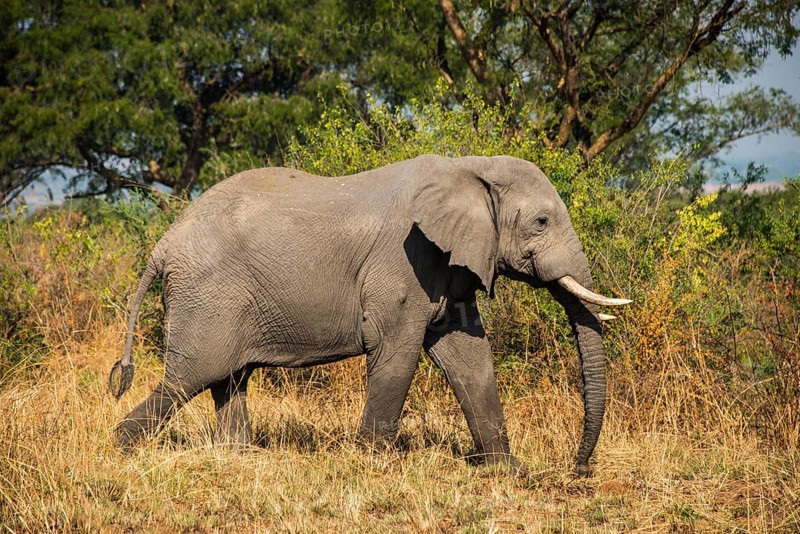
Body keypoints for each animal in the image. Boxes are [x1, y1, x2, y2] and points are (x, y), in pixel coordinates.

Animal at [108, 154, 630, 476]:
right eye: (541, 222)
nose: (579, 469)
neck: (468, 166)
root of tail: (161, 245)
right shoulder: (405, 260)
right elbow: (396, 350)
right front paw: (372, 463)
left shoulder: (447, 265)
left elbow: (469, 356)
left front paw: (508, 470)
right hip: (208, 297)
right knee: (190, 378)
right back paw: (120, 448)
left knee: (228, 379)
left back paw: (237, 457)